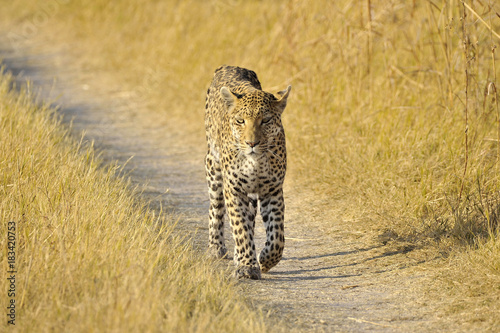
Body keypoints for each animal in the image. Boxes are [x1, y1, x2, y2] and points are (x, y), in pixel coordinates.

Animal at [203, 65, 290, 278]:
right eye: (240, 121)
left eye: (266, 120)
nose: (252, 143)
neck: (255, 161)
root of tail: (230, 66)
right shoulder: (234, 190)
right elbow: (240, 229)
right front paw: (247, 267)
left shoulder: (272, 190)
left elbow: (277, 235)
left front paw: (265, 260)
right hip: (213, 168)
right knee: (216, 208)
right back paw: (216, 247)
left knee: (250, 217)